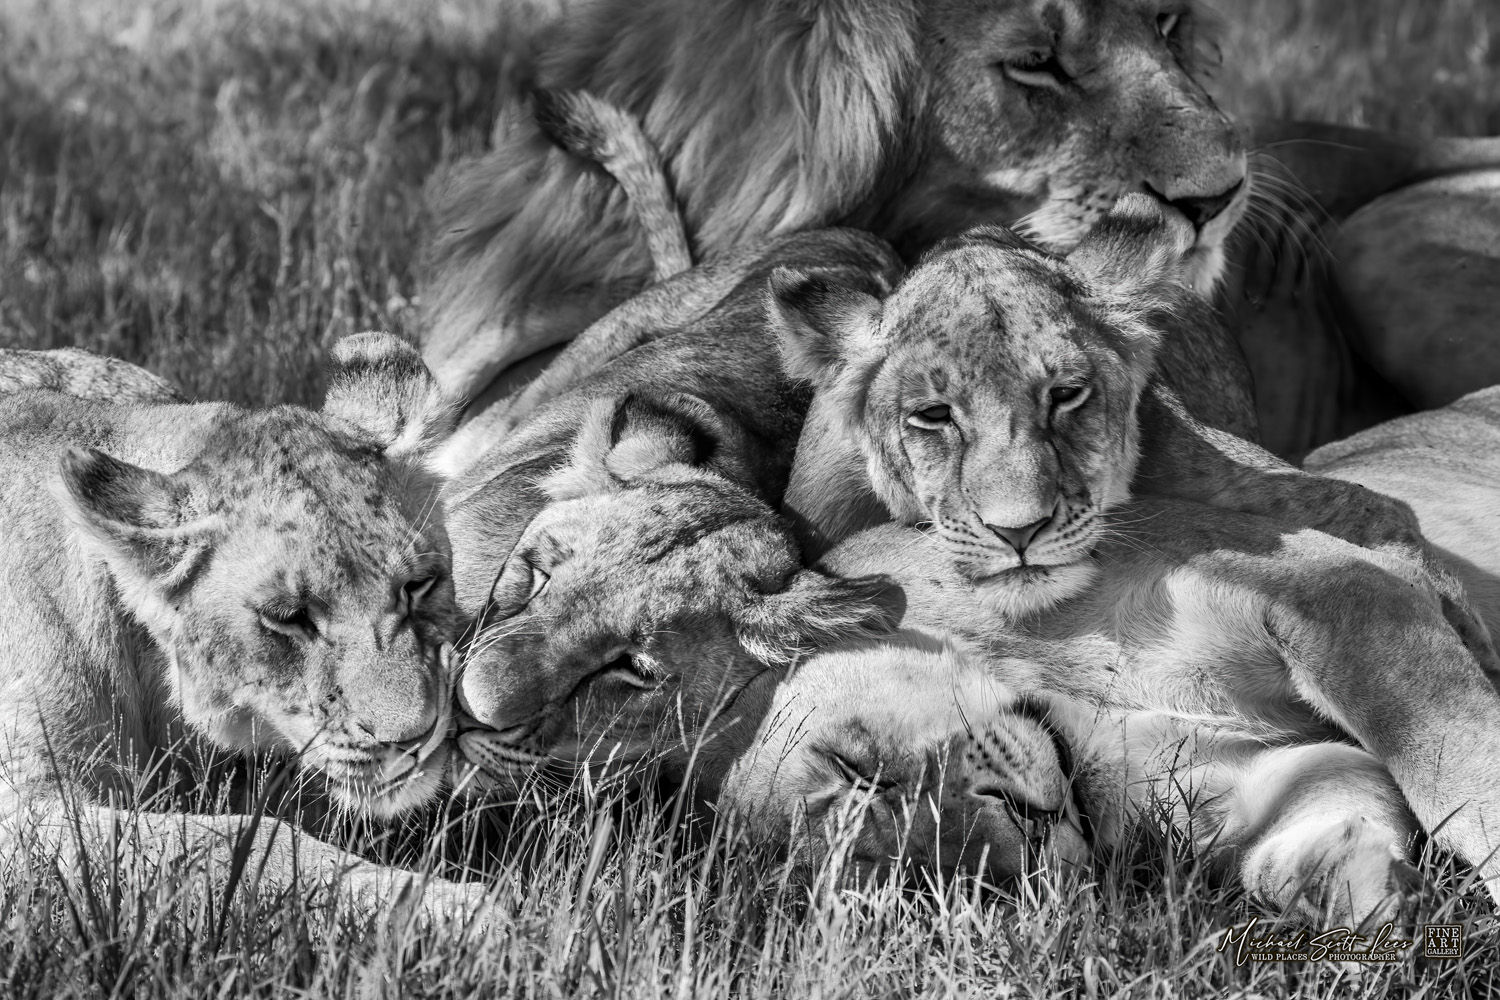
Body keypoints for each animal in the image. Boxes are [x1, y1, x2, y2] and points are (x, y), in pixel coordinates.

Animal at [0, 333, 479, 914]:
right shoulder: (23, 814)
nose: (416, 736)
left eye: (417, 586)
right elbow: (233, 843)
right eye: (288, 618)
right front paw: (454, 909)